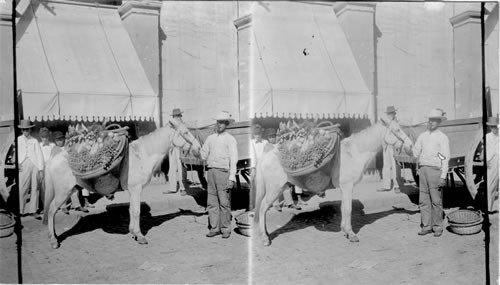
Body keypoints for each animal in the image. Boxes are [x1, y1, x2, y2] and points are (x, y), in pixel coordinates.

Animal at [42, 121, 199, 247]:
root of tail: (53, 158)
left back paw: (53, 235)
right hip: (63, 192)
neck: (141, 156)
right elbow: (136, 211)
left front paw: (133, 233)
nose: (198, 148)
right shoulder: (136, 189)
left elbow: (131, 210)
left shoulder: (132, 191)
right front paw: (140, 236)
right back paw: (53, 240)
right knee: (51, 210)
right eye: (185, 132)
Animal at [254, 118, 414, 245]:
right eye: (397, 130)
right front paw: (351, 234)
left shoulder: (344, 188)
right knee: (262, 208)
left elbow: (343, 208)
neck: (353, 153)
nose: (411, 145)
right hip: (275, 189)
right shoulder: (348, 186)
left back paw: (266, 233)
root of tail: (265, 155)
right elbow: (348, 209)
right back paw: (264, 238)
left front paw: (345, 231)